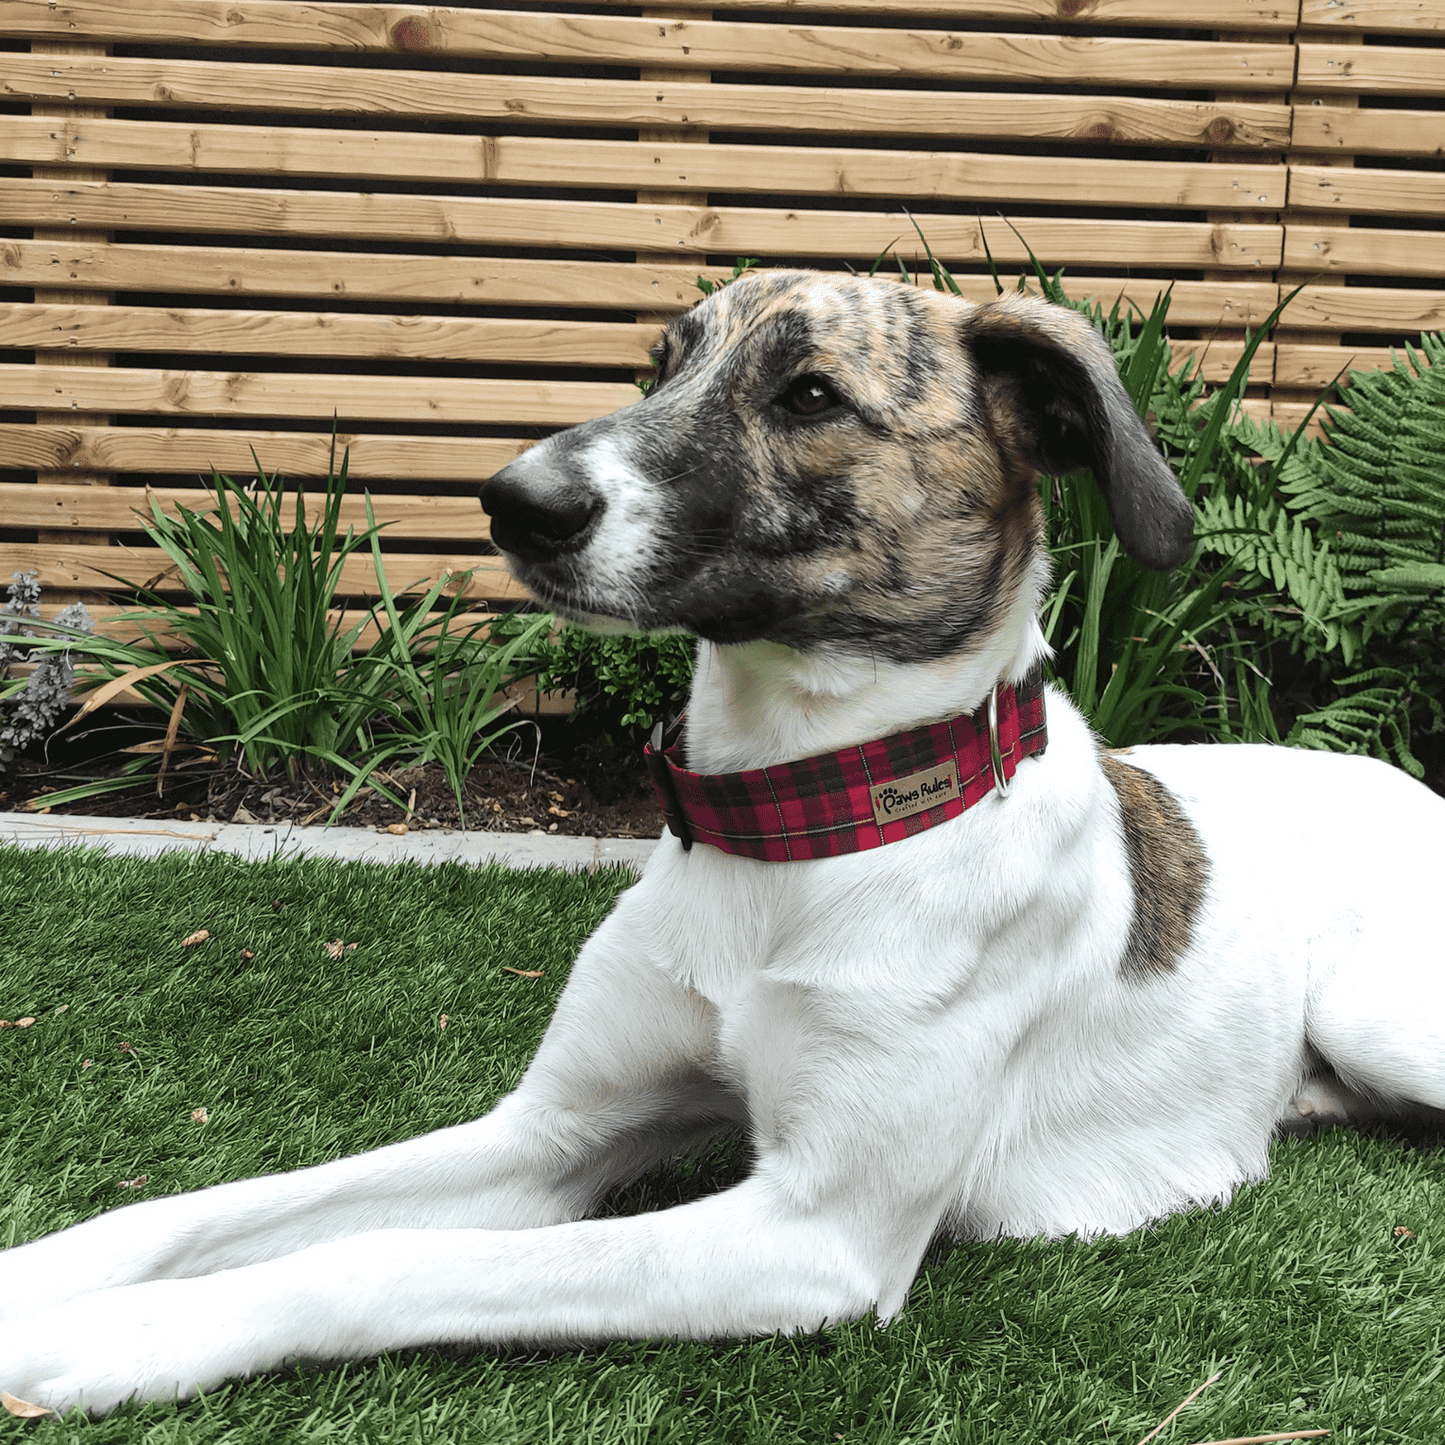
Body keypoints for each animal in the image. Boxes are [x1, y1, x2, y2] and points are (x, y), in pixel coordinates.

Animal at [2, 268, 1445, 1410]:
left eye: (807, 394)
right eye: (660, 363)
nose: (512, 500)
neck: (795, 825)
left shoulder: (811, 1231)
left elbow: (385, 1257)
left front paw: (128, 1334)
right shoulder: (549, 1133)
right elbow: (220, 1206)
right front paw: (43, 1279)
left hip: (1379, 1010)